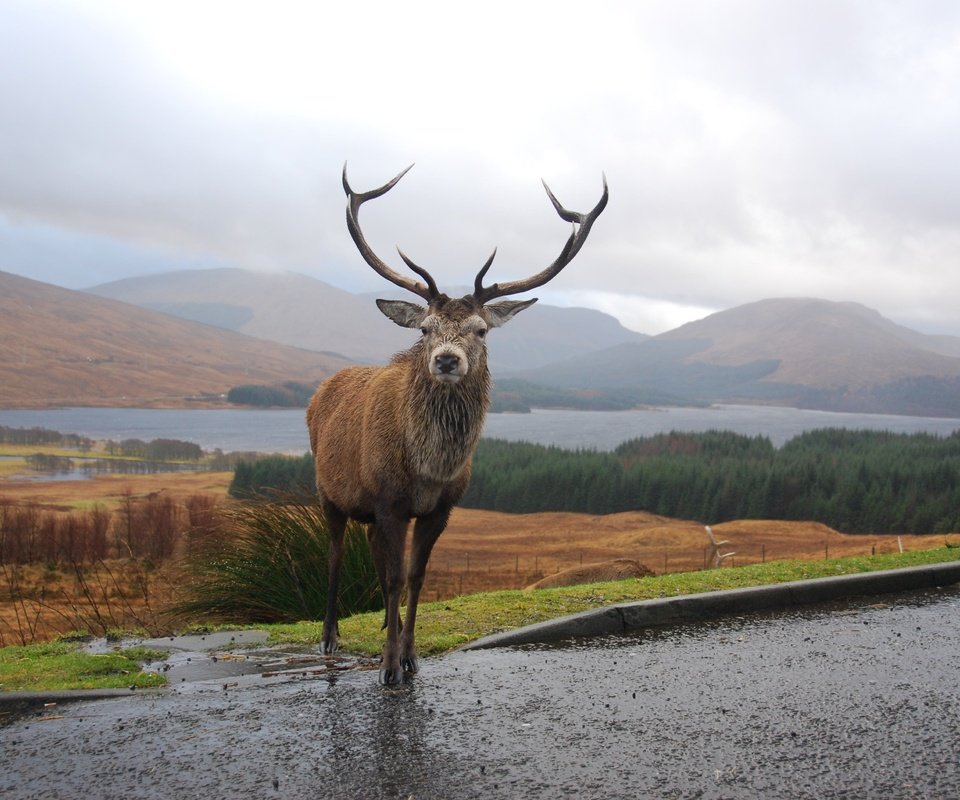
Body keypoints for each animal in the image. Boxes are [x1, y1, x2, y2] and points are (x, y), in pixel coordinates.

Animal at [308, 162, 608, 680]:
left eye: (481, 329)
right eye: (426, 328)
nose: (447, 359)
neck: (428, 469)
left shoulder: (440, 508)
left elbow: (415, 578)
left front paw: (408, 656)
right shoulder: (388, 501)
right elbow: (393, 579)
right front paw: (388, 667)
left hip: (366, 510)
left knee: (370, 553)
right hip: (328, 491)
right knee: (334, 554)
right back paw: (329, 636)